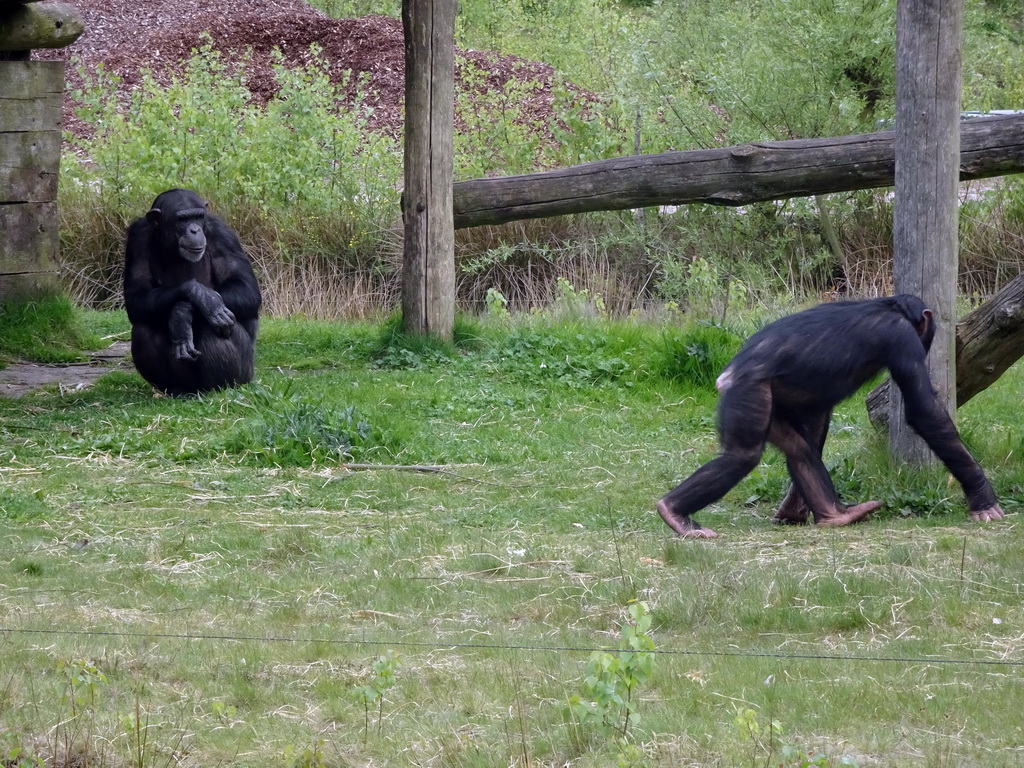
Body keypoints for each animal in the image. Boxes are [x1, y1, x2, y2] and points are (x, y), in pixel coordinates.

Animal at [123, 190, 262, 399]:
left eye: (198, 216)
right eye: (183, 219)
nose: (195, 230)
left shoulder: (224, 235)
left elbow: (246, 289)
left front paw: (188, 308)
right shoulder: (137, 238)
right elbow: (136, 296)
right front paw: (195, 295)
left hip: (246, 372)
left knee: (212, 323)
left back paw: (220, 388)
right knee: (144, 328)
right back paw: (177, 390)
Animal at [659, 294, 1003, 540]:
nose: (930, 339)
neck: (891, 306)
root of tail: (725, 377)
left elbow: (815, 428)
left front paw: (792, 509)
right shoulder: (902, 340)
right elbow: (924, 411)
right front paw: (983, 498)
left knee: (799, 450)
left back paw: (835, 515)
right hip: (748, 394)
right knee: (742, 455)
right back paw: (674, 514)